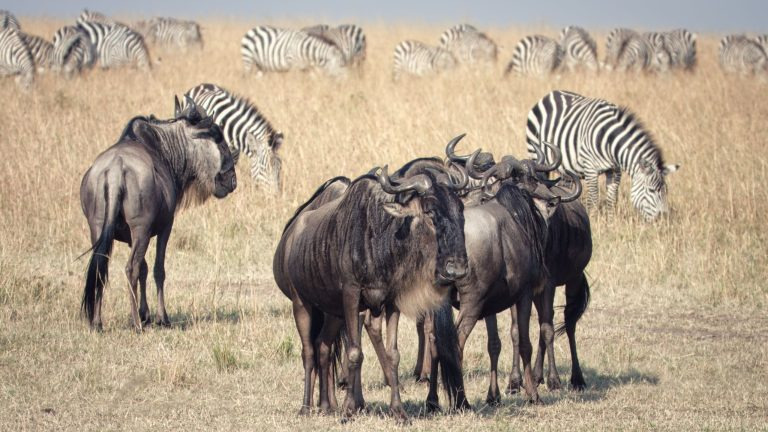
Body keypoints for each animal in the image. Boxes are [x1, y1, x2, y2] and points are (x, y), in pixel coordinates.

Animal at [526, 90, 679, 221]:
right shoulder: (590, 168)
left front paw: (610, 223)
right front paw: (593, 220)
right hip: (536, 153)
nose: (663, 219)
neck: (610, 142)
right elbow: (593, 198)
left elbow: (612, 198)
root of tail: (552, 93)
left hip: (566, 171)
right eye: (652, 190)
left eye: (666, 191)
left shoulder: (615, 170)